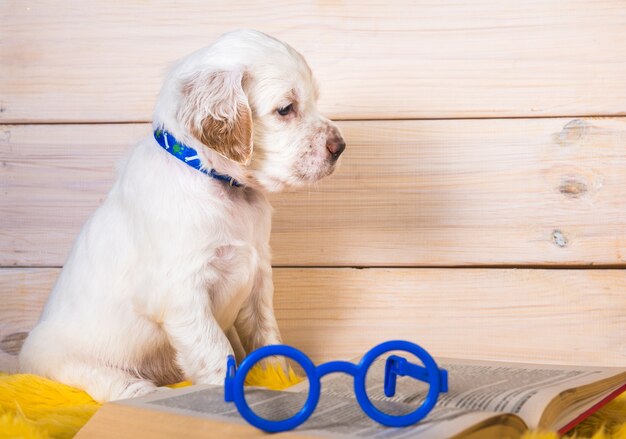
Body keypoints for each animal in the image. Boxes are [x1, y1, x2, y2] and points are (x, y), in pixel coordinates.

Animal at [19, 29, 344, 404]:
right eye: (286, 109)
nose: (340, 146)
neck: (219, 183)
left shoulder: (258, 277)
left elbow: (267, 337)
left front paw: (281, 379)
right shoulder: (181, 291)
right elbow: (217, 352)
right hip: (55, 355)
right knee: (97, 378)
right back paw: (137, 388)